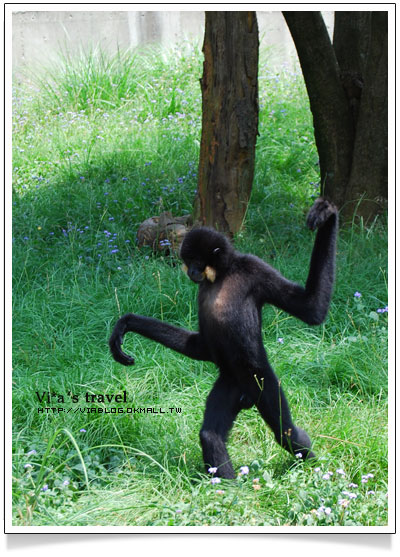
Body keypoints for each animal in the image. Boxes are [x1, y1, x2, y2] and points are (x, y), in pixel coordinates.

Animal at [109, 199, 338, 478]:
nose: (192, 270)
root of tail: (246, 395)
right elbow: (201, 347)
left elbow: (311, 309)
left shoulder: (254, 268)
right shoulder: (202, 292)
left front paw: (327, 215)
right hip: (230, 382)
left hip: (261, 379)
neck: (223, 275)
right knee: (211, 435)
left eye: (197, 260)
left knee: (286, 432)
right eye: (188, 260)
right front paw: (128, 323)